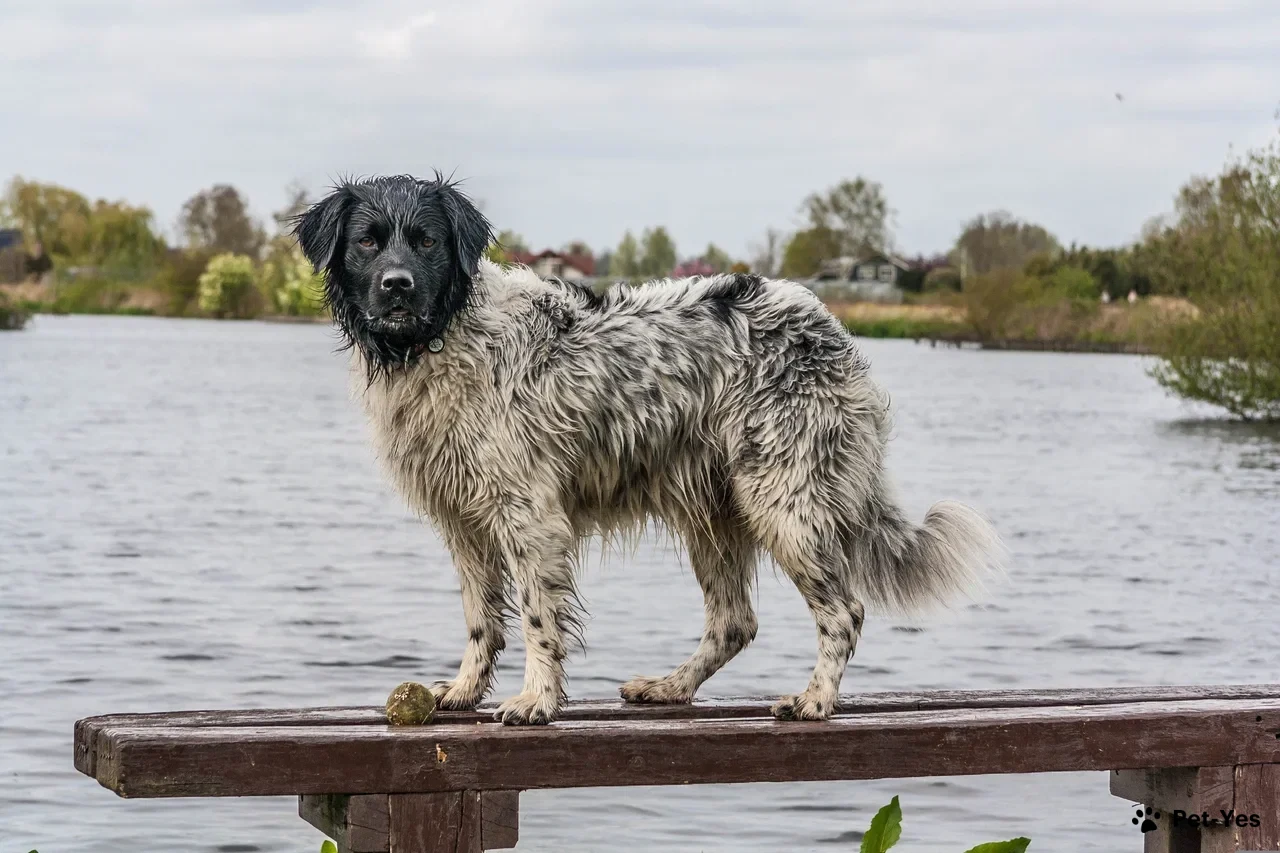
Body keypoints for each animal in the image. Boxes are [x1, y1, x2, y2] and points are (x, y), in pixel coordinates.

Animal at [294, 172, 1003, 722]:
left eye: (427, 240)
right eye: (368, 240)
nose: (397, 284)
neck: (439, 338)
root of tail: (830, 327)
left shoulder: (529, 516)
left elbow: (536, 619)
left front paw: (536, 701)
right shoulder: (464, 521)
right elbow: (482, 620)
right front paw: (465, 690)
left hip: (785, 502)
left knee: (844, 611)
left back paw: (815, 700)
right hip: (716, 515)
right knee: (735, 622)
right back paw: (670, 688)